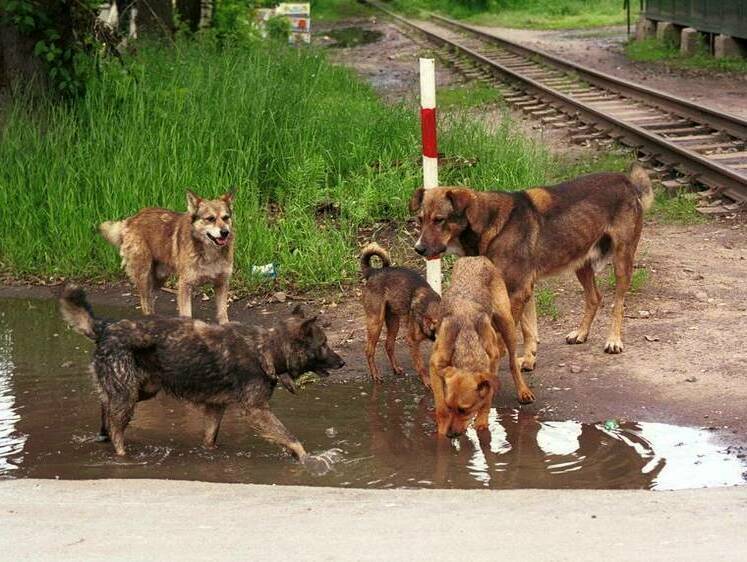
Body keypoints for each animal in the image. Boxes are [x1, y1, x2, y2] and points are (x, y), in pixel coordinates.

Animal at [57, 284, 344, 464]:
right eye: (323, 344)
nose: (342, 362)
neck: (266, 350)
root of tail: (105, 327)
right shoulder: (256, 411)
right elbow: (290, 437)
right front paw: (308, 458)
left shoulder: (215, 408)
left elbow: (210, 439)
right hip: (128, 396)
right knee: (117, 430)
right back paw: (121, 454)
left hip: (142, 390)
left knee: (105, 406)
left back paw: (103, 432)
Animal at [99, 190, 234, 324]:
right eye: (210, 219)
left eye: (225, 218)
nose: (225, 232)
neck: (210, 252)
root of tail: (130, 220)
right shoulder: (185, 285)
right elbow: (187, 315)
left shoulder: (222, 284)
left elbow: (223, 315)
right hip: (143, 274)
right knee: (145, 303)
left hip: (160, 277)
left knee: (150, 300)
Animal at [360, 243, 442, 388]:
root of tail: (374, 272)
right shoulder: (412, 341)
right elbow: (420, 365)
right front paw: (427, 381)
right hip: (376, 322)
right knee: (369, 350)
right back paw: (375, 375)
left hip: (393, 322)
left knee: (388, 345)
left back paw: (396, 368)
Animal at [412, 163, 652, 368]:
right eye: (420, 220)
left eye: (439, 220)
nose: (418, 249)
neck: (490, 223)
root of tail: (627, 181)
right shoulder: (524, 290)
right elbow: (528, 329)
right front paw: (528, 360)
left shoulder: (518, 291)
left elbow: (508, 333)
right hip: (580, 261)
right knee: (595, 298)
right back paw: (581, 333)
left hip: (622, 261)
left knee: (618, 304)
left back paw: (614, 340)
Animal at [426, 255, 532, 438]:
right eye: (450, 406)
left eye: (464, 410)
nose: (451, 435)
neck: (467, 342)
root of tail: (476, 257)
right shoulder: (435, 366)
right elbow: (440, 407)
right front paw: (441, 430)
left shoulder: (492, 359)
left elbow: (487, 396)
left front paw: (481, 421)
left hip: (507, 321)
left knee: (513, 361)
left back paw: (523, 390)